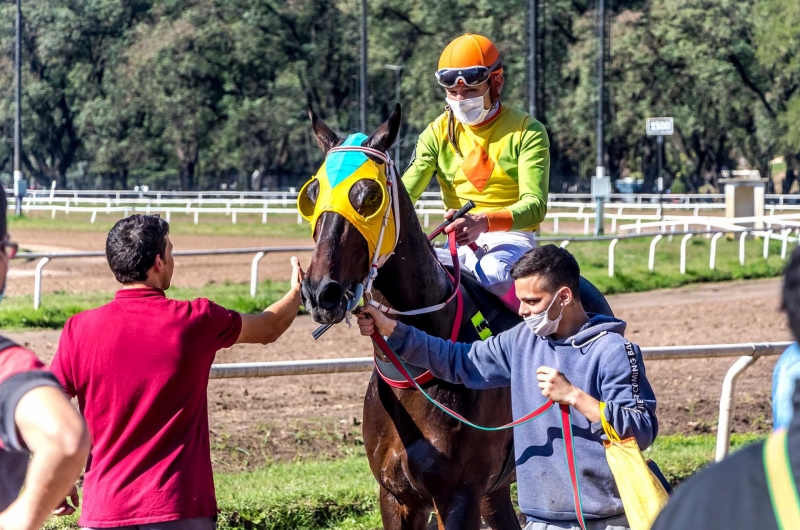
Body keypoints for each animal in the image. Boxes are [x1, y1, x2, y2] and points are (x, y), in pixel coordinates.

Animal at [300, 104, 612, 528]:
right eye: (313, 194)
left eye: (369, 195)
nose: (321, 292)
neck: (412, 376)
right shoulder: (396, 496)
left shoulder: (458, 494)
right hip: (495, 489)